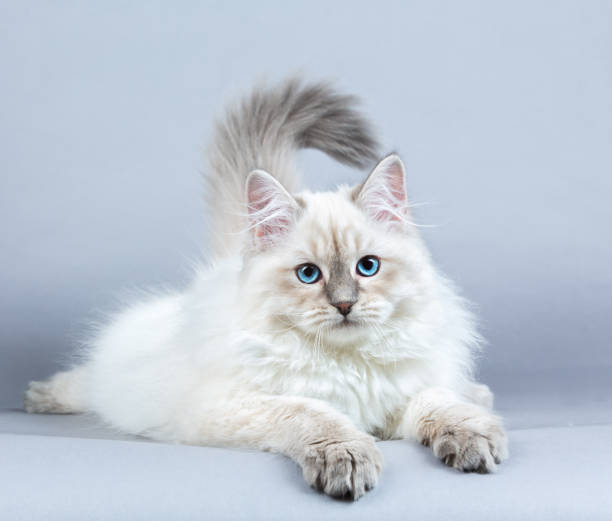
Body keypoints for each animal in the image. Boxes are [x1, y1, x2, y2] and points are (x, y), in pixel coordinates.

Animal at [25, 78, 506, 500]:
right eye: (308, 274)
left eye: (367, 267)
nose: (345, 304)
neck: (346, 364)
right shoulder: (236, 407)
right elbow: (314, 414)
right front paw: (347, 458)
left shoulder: (402, 396)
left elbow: (438, 402)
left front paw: (475, 437)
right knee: (87, 384)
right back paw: (41, 397)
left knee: (460, 388)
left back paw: (480, 395)